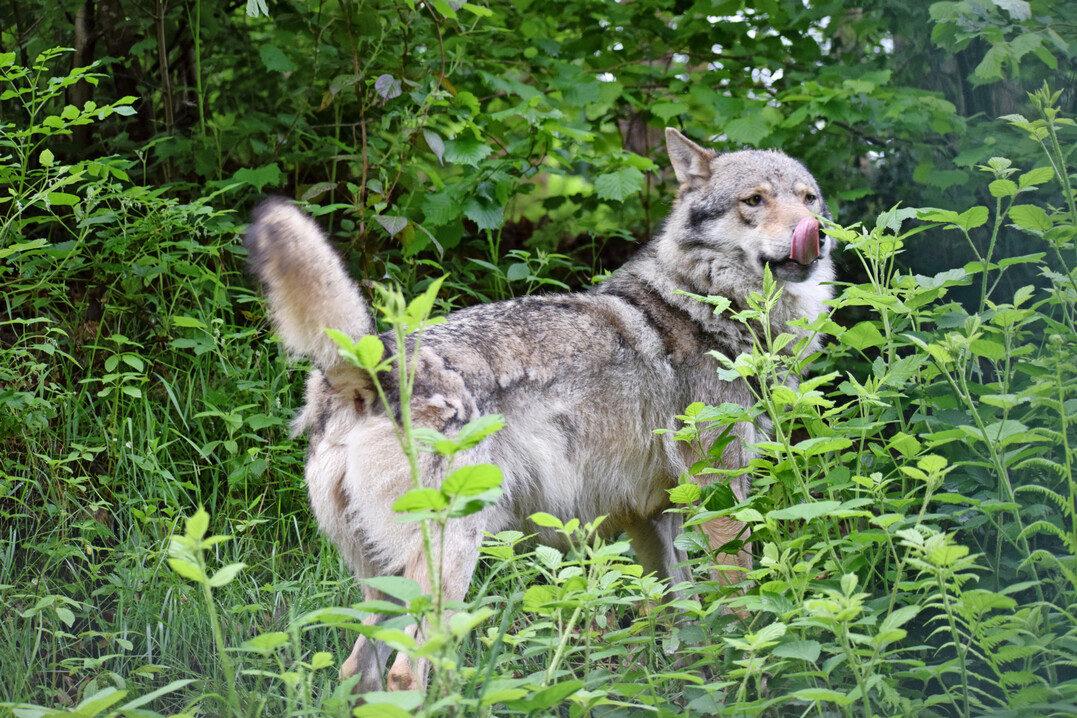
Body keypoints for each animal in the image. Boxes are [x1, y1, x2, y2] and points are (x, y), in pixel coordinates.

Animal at [245, 127, 834, 692]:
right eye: (754, 200)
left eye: (809, 198)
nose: (819, 232)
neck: (709, 305)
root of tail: (373, 365)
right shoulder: (720, 495)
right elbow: (741, 608)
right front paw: (750, 685)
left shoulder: (649, 519)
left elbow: (683, 624)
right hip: (451, 563)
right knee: (406, 671)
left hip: (388, 583)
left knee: (356, 669)